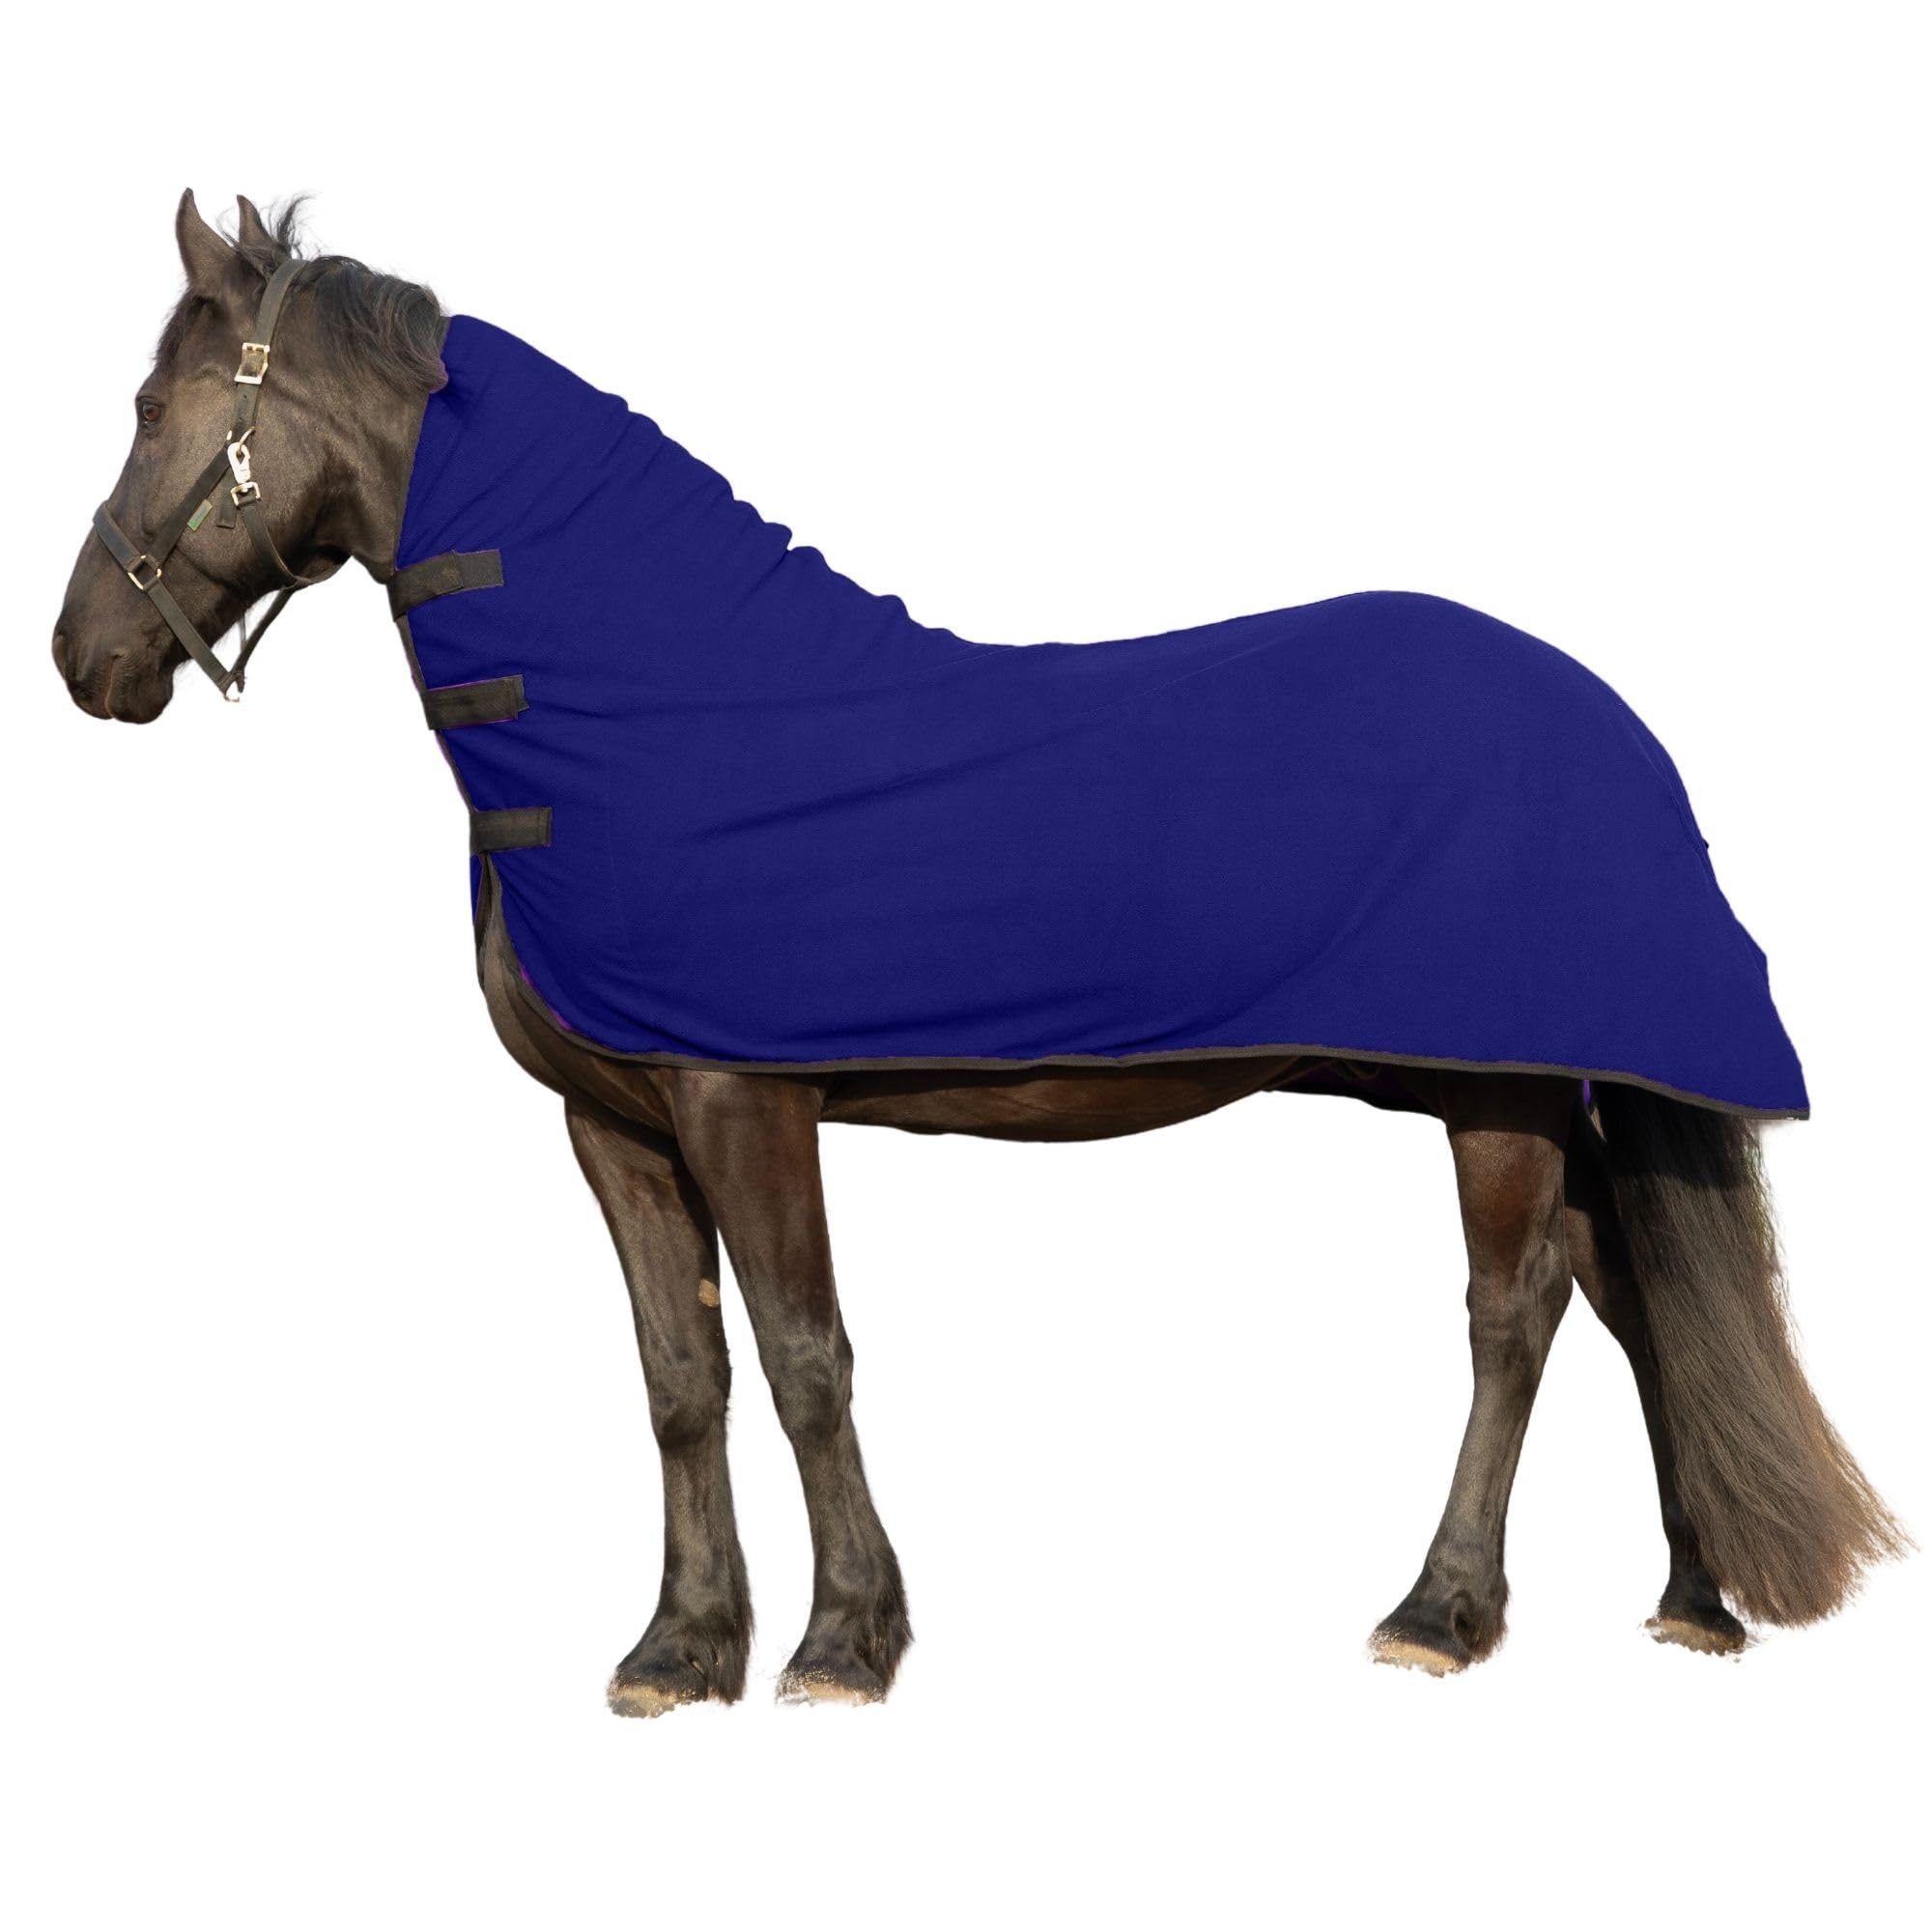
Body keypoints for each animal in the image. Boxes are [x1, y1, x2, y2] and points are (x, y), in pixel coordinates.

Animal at [50, 191, 1901, 1713]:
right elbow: (681, 1380)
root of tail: (1618, 729)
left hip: (1495, 1096)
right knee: (1633, 1294)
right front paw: (679, 1651)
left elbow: (805, 1360)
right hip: (1500, 1087)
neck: (653, 709)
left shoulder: (743, 1100)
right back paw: (1694, 1602)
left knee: (1517, 1315)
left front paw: (843, 1643)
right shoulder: (615, 1124)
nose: (84, 657)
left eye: (150, 410)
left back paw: (1440, 1614)